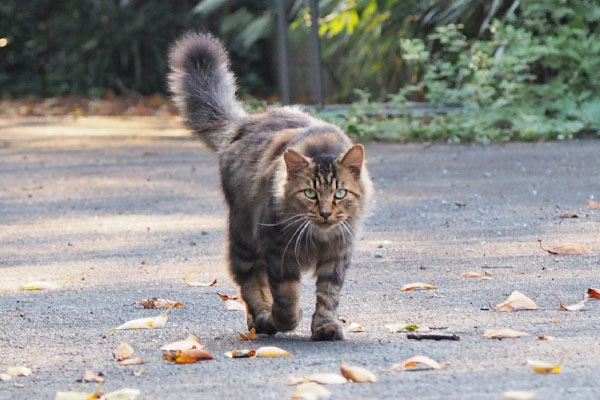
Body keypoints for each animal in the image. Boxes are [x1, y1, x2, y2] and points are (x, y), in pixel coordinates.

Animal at [169, 33, 372, 340]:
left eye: (340, 193)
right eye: (310, 193)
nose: (326, 213)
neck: (317, 238)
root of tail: (244, 122)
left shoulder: (337, 255)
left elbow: (328, 295)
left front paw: (324, 326)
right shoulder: (279, 251)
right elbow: (286, 295)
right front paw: (287, 318)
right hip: (244, 238)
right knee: (249, 281)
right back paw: (263, 320)